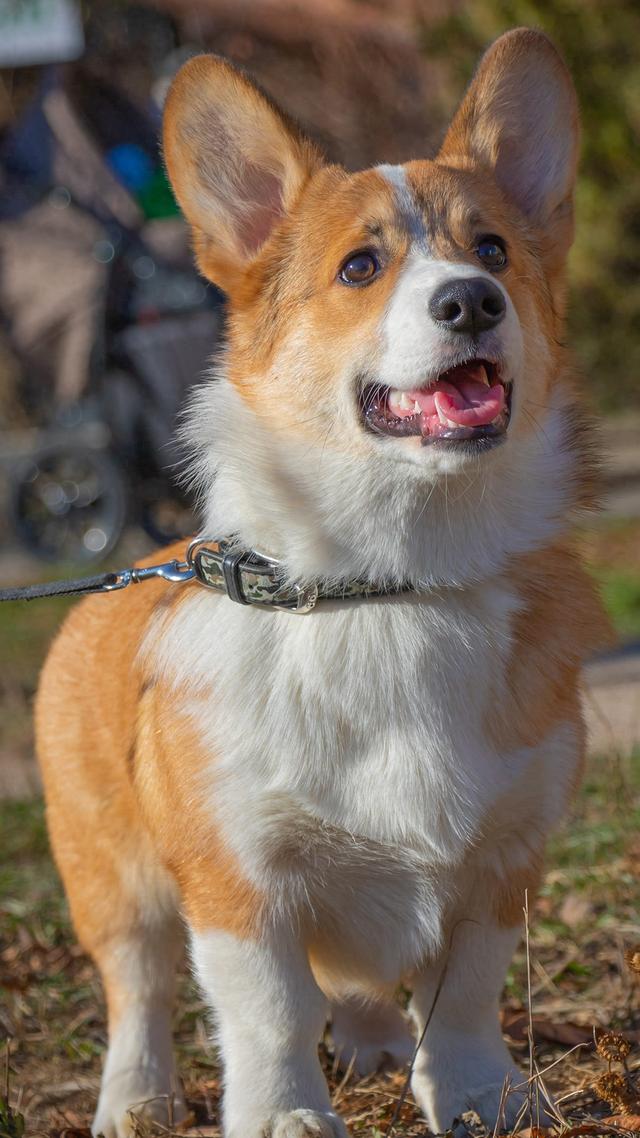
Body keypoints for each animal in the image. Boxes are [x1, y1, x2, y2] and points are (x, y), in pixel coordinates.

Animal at [36, 24, 605, 1138]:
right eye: (360, 267)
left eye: (494, 251)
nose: (472, 301)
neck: (392, 584)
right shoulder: (239, 874)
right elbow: (268, 1011)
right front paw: (283, 1115)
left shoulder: (501, 861)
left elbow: (463, 996)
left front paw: (479, 1094)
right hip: (111, 877)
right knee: (138, 987)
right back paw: (135, 1094)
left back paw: (378, 1041)